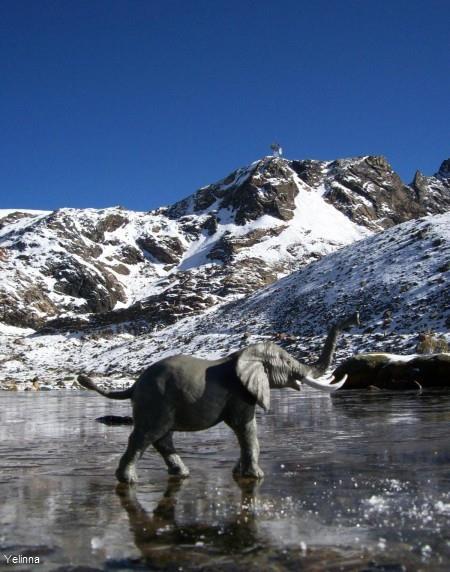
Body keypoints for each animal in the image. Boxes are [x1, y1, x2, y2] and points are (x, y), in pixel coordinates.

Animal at [78, 312, 358, 482]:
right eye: (288, 363)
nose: (352, 317)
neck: (245, 353)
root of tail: (135, 385)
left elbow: (244, 431)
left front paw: (239, 473)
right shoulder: (240, 393)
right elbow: (245, 428)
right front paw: (256, 477)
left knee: (162, 438)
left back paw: (182, 474)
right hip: (155, 401)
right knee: (145, 436)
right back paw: (129, 480)